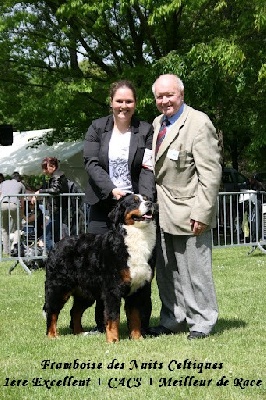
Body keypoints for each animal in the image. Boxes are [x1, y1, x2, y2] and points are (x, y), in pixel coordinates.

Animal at [43, 192, 156, 342]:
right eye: (134, 202)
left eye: (147, 199)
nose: (150, 204)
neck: (135, 238)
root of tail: (57, 244)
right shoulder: (112, 289)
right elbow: (113, 317)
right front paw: (113, 340)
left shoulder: (138, 288)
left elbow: (135, 317)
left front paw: (137, 338)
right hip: (59, 287)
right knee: (52, 311)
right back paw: (52, 335)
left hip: (85, 291)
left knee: (75, 311)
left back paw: (79, 333)